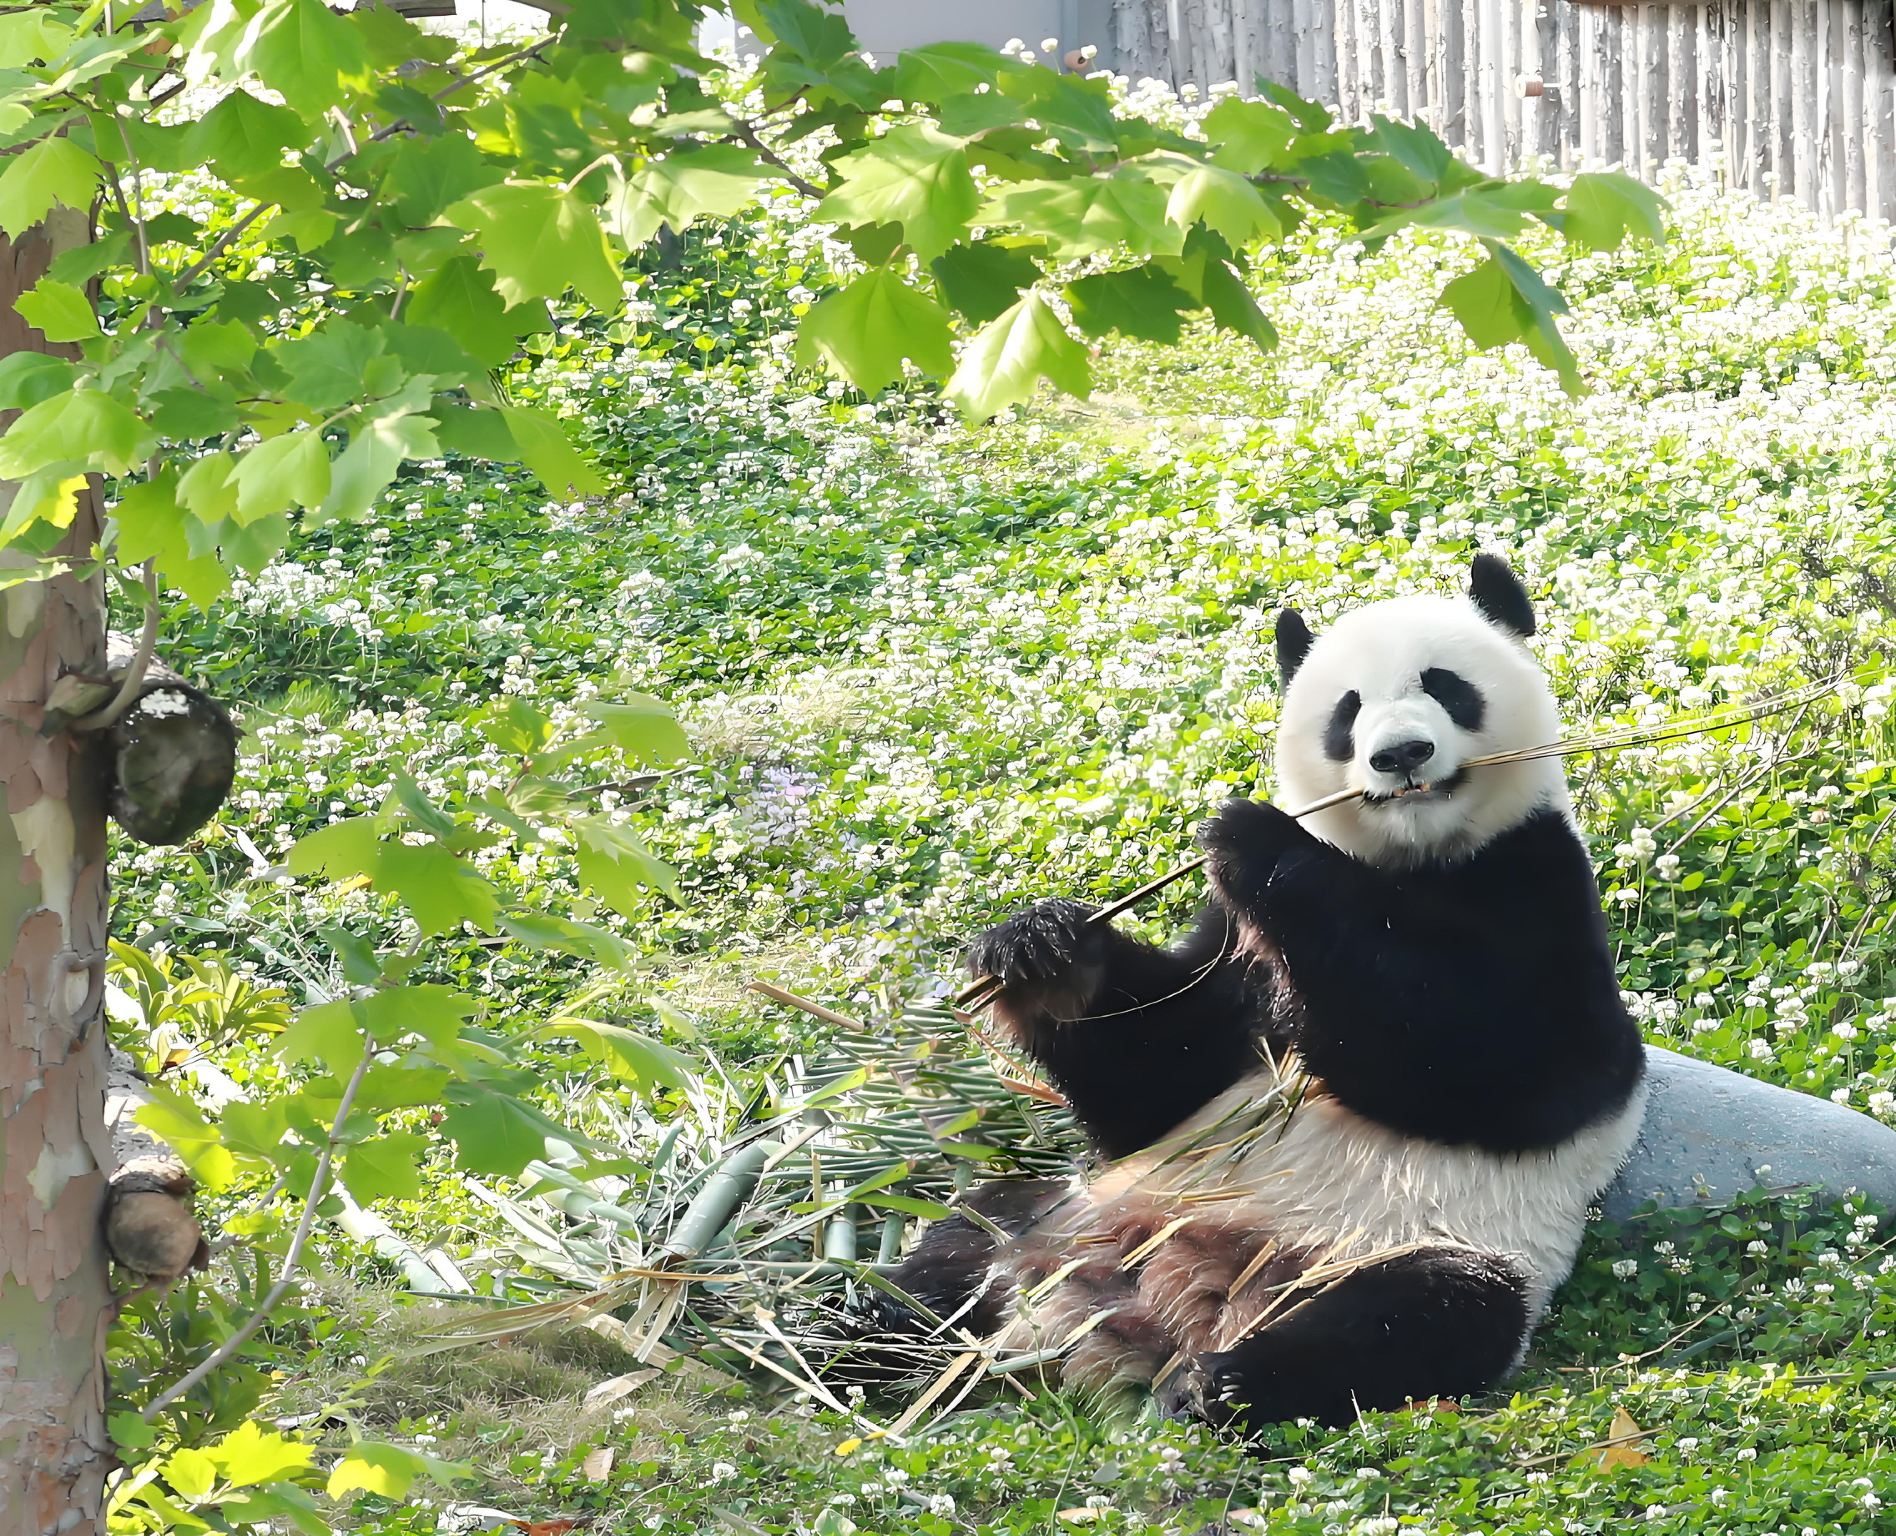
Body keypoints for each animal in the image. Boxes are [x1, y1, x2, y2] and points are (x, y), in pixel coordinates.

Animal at [860, 555, 1649, 1430]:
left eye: (1444, 686)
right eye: (1348, 710)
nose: (1401, 755)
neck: (1406, 859)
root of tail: (1160, 1310)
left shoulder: (1536, 885)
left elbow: (1505, 1067)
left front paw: (1255, 839)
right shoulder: (1231, 954)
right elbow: (1159, 1080)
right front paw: (1040, 949)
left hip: (1409, 1247)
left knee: (1427, 1313)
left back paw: (1224, 1383)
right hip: (1079, 1209)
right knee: (970, 1232)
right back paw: (868, 1320)